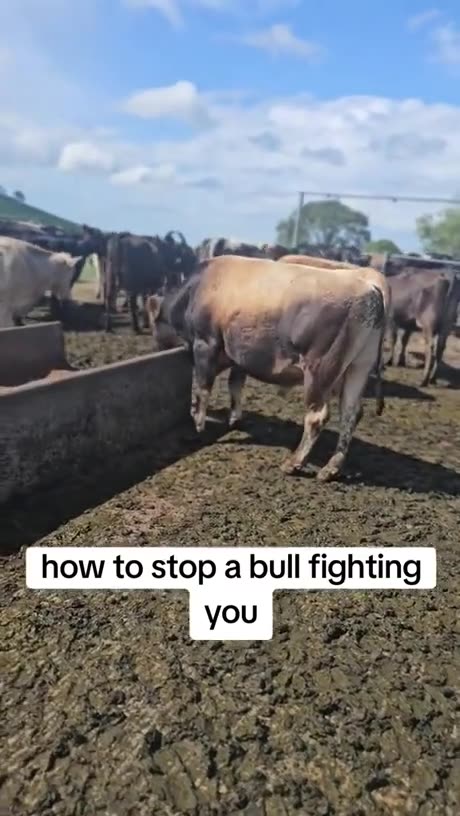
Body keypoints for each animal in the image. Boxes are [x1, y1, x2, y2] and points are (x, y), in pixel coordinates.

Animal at [147, 255, 388, 482]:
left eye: (154, 326)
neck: (198, 289)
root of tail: (370, 287)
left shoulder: (205, 344)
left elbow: (202, 389)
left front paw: (198, 426)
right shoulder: (240, 356)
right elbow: (235, 386)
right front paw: (234, 420)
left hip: (320, 369)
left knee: (317, 416)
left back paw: (294, 463)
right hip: (358, 367)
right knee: (350, 413)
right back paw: (332, 468)